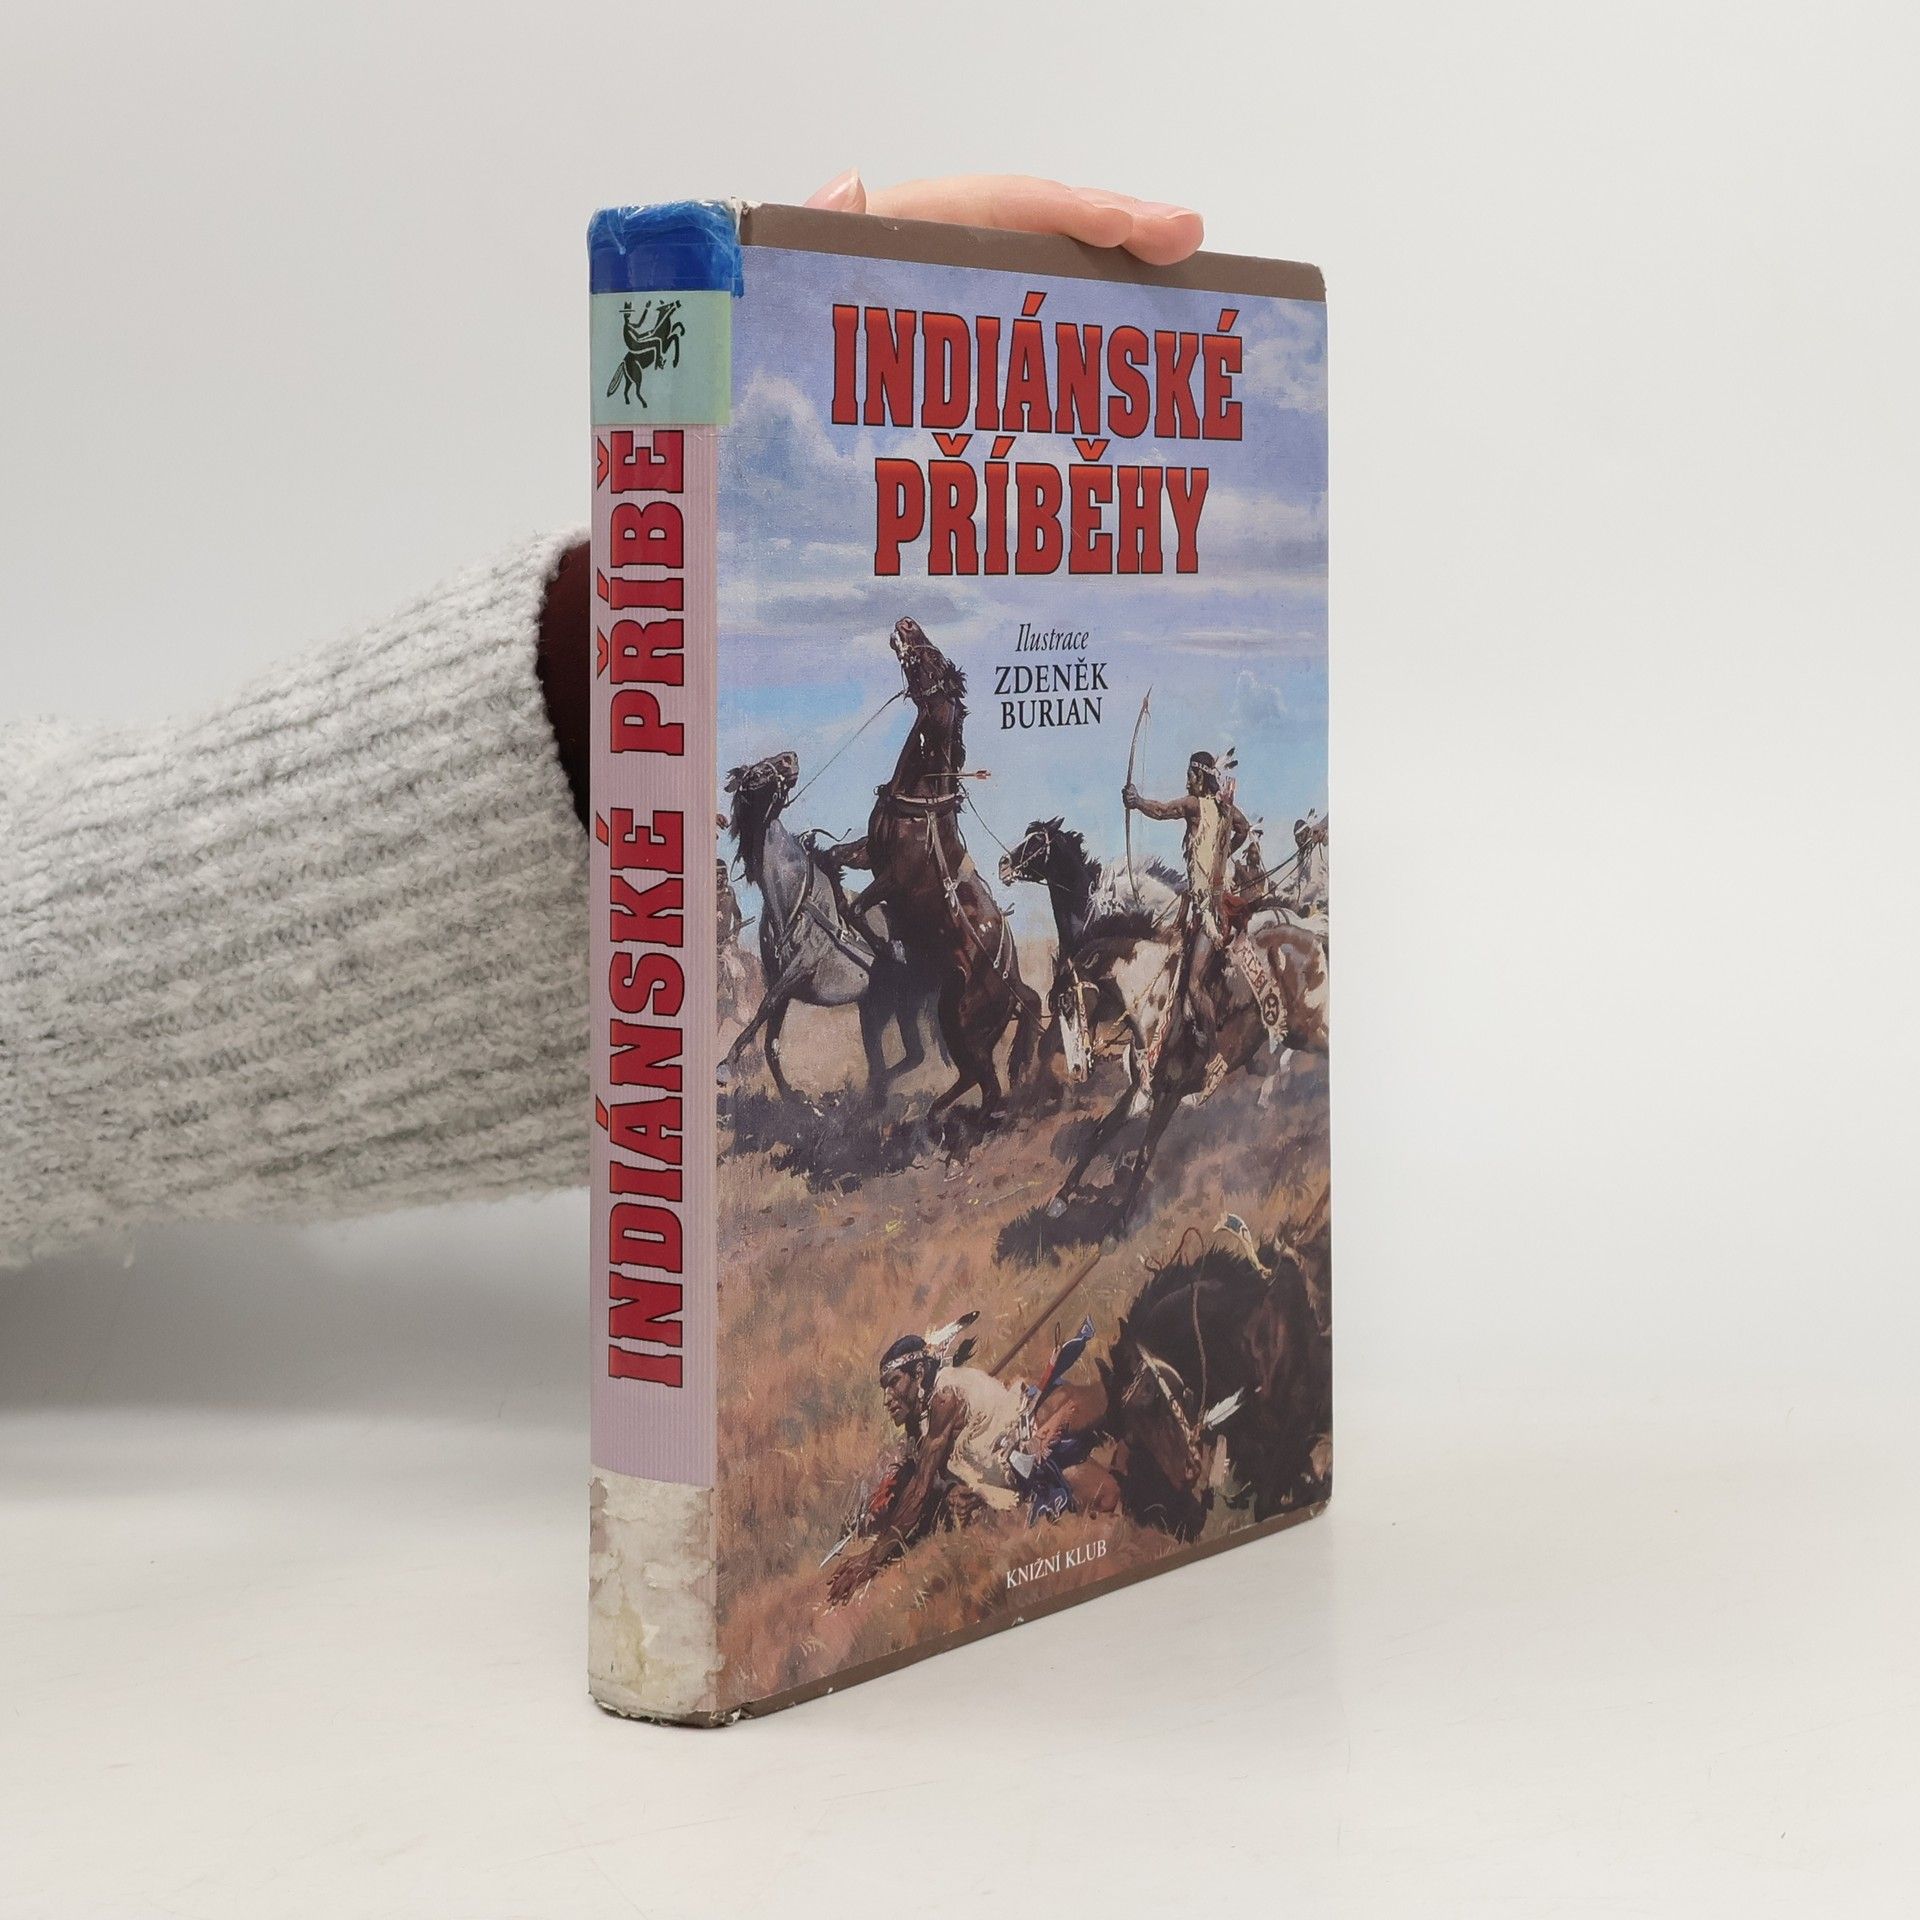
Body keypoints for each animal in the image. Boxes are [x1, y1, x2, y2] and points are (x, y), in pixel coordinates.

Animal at [718, 751, 938, 1105]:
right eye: (755, 774)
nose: (789, 758)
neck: (794, 898)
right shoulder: (780, 980)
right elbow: (771, 1041)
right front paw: (793, 1098)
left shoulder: (798, 968)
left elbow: (765, 1006)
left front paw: (725, 1065)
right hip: (876, 1009)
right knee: (903, 1056)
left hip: (901, 1004)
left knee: (910, 1056)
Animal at [834, 618, 1043, 1130]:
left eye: (934, 658)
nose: (906, 624)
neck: (922, 803)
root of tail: (1015, 990)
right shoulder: (869, 853)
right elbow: (835, 856)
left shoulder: (896, 879)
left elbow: (858, 906)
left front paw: (882, 944)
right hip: (957, 1019)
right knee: (976, 1080)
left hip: (962, 1023)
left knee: (988, 1086)